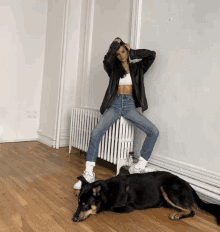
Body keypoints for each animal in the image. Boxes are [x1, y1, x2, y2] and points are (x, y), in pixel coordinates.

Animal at [72, 170, 220, 225]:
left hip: (168, 189)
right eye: (79, 203)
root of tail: (189, 185)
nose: (73, 219)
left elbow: (111, 208)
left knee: (191, 211)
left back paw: (178, 214)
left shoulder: (126, 207)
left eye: (86, 205)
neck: (108, 191)